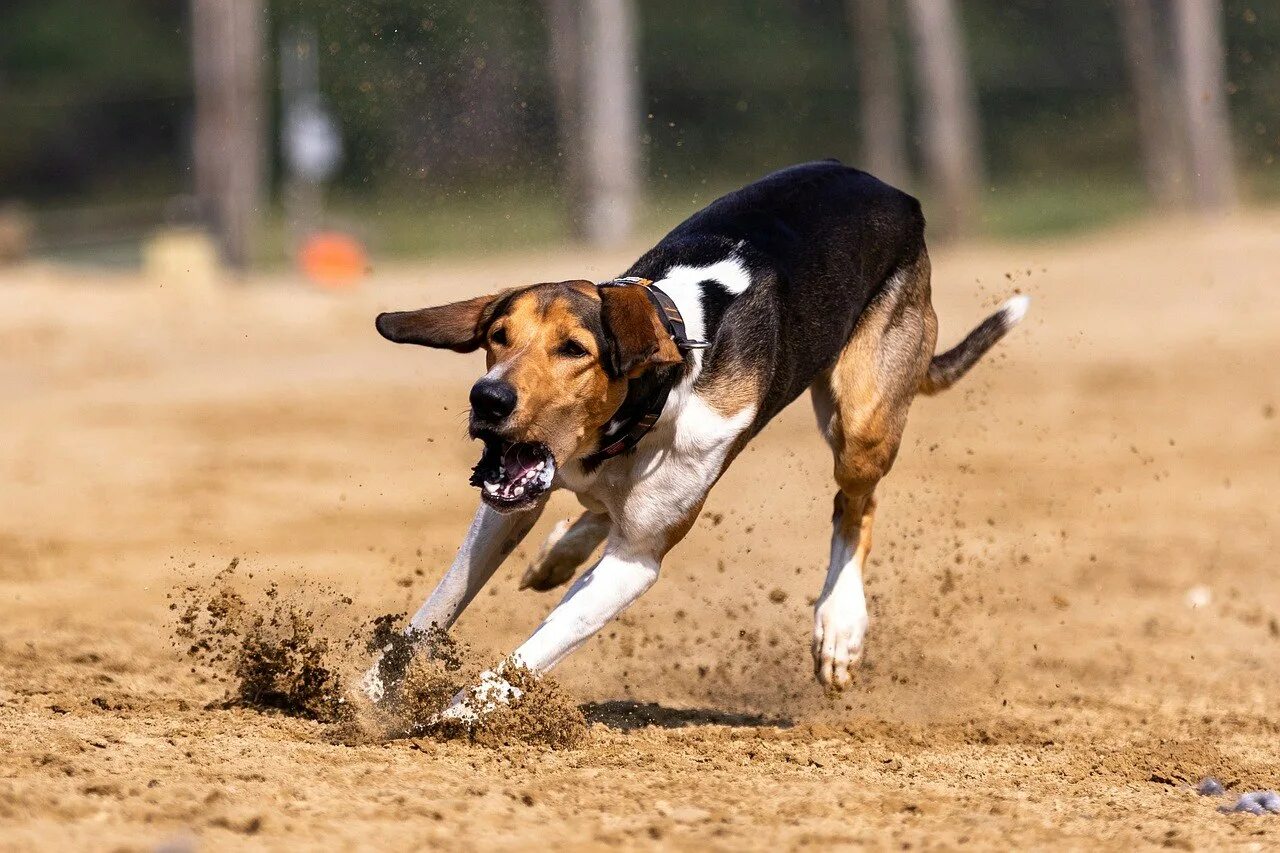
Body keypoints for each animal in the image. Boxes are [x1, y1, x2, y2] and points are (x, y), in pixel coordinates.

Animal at [366, 161, 1024, 717]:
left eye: (574, 350)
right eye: (497, 336)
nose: (488, 399)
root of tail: (898, 194)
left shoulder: (633, 564)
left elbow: (532, 652)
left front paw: (457, 713)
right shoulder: (511, 502)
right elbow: (441, 603)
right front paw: (373, 691)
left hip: (864, 421)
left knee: (854, 506)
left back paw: (839, 627)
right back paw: (562, 549)